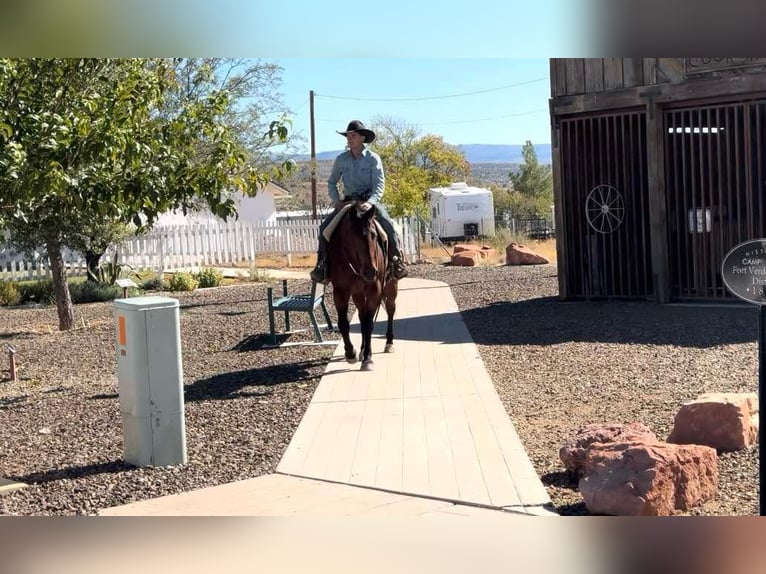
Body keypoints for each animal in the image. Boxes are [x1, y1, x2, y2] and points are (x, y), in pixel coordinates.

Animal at [326, 202, 398, 371]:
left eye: (374, 235)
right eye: (353, 236)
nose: (371, 271)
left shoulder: (375, 291)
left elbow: (368, 324)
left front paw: (368, 359)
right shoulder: (340, 291)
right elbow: (344, 323)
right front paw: (350, 353)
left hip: (391, 286)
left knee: (390, 310)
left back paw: (389, 343)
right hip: (358, 294)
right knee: (361, 314)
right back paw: (360, 350)